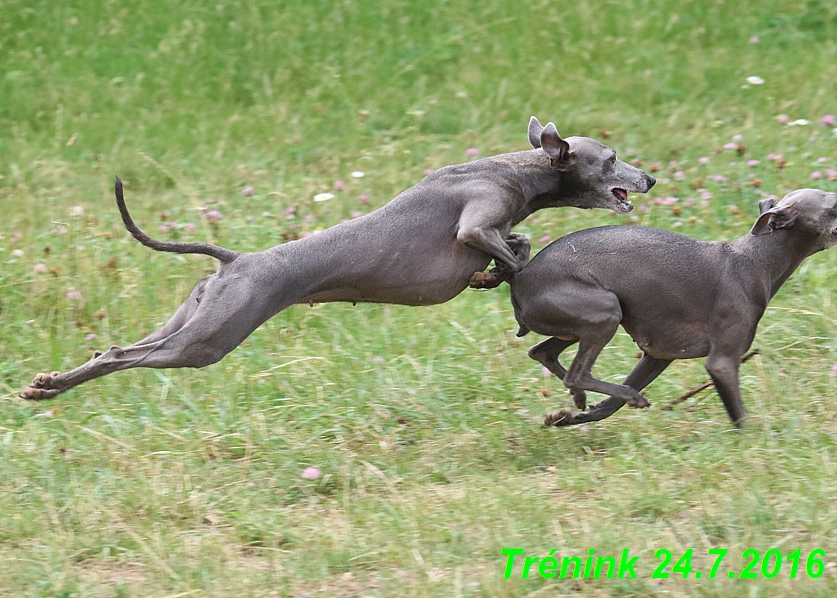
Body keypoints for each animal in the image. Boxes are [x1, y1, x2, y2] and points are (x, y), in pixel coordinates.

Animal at [19, 116, 656, 404]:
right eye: (611, 157)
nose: (648, 178)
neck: (515, 170)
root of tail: (233, 259)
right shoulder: (478, 219)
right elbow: (513, 252)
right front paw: (496, 272)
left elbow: (511, 252)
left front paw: (487, 275)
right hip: (206, 339)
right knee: (122, 355)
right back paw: (51, 388)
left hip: (192, 317)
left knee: (110, 350)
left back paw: (47, 385)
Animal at [506, 190, 836, 428]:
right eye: (833, 205)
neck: (753, 261)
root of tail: (520, 276)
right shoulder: (722, 362)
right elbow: (740, 417)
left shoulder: (658, 355)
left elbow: (609, 407)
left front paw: (570, 418)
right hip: (605, 313)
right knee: (576, 374)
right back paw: (608, 393)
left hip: (577, 326)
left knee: (543, 353)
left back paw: (581, 398)